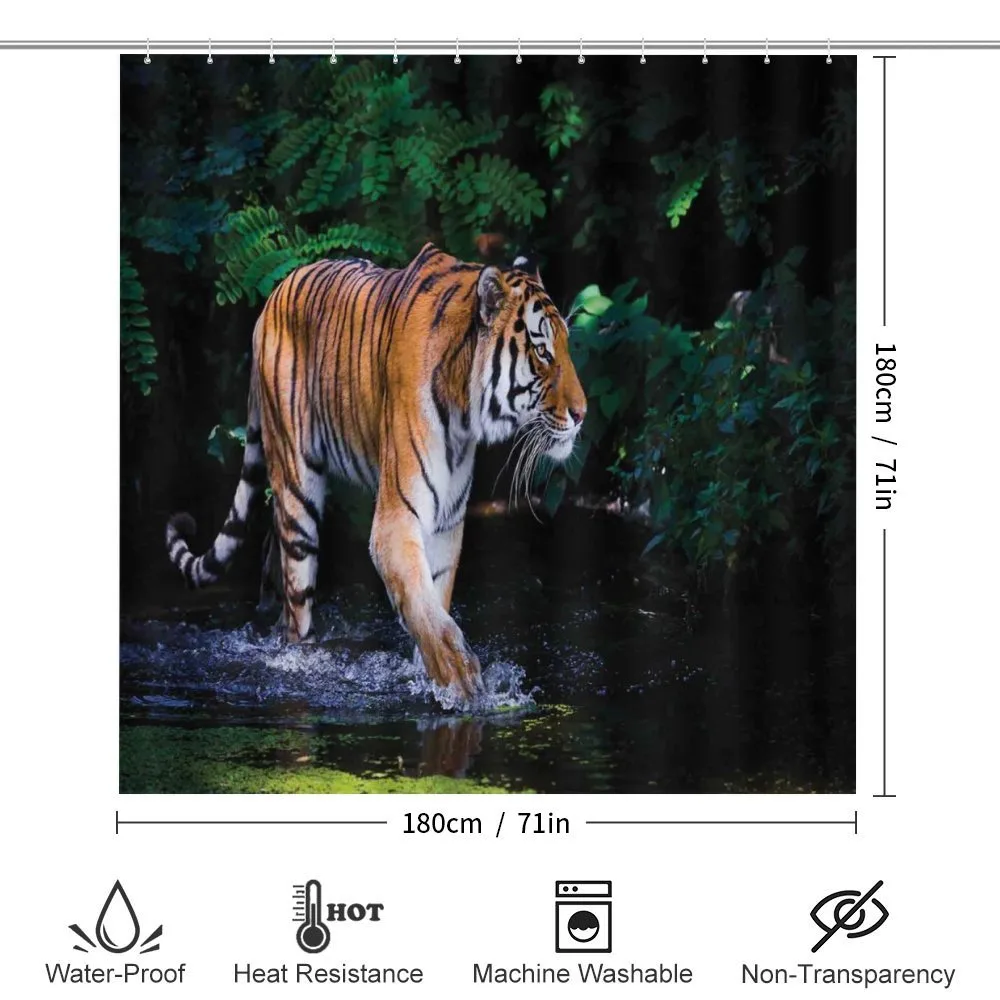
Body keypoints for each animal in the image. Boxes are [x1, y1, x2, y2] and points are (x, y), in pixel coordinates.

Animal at [165, 243, 587, 699]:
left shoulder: (447, 522)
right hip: (297, 490)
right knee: (297, 603)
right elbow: (423, 607)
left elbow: (433, 599)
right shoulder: (397, 518)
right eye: (543, 352)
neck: (465, 412)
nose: (582, 414)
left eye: (567, 348)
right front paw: (459, 677)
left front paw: (432, 673)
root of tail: (273, 296)